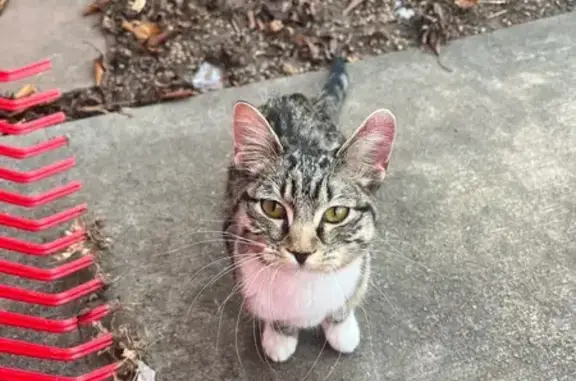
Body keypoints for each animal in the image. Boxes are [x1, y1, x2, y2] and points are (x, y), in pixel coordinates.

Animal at [223, 57, 398, 362]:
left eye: (336, 213)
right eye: (272, 208)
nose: (301, 252)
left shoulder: (361, 264)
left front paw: (341, 326)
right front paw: (280, 335)